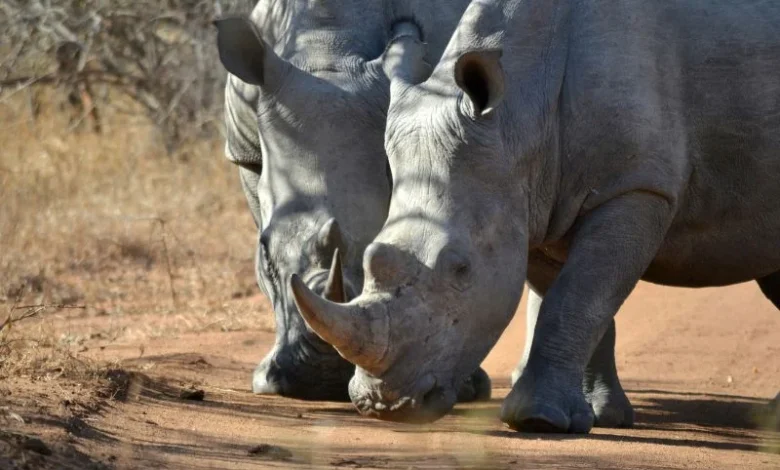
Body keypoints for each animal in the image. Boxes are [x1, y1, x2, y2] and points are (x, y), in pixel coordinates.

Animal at [289, 0, 780, 430]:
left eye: (461, 269)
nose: (381, 404)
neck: (520, 112)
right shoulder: (531, 201)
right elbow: (574, 298)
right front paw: (597, 415)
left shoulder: (636, 186)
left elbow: (579, 297)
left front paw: (536, 420)